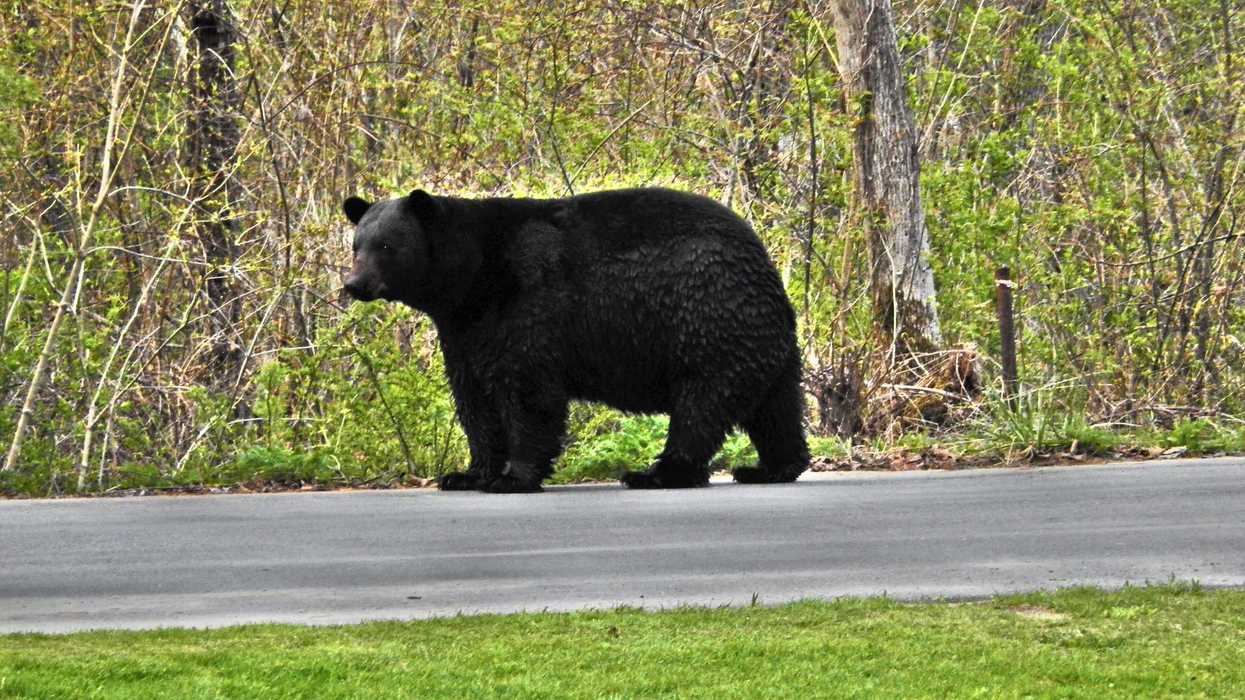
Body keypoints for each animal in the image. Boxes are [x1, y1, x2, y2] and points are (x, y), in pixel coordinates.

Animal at [341, 187, 809, 493]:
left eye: (387, 245)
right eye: (357, 245)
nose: (354, 284)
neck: (474, 281)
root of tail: (763, 264)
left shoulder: (528, 300)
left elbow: (527, 391)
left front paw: (512, 478)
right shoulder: (464, 332)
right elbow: (474, 399)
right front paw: (467, 474)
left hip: (704, 321)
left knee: (701, 407)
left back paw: (657, 473)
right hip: (760, 343)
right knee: (776, 408)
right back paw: (772, 467)